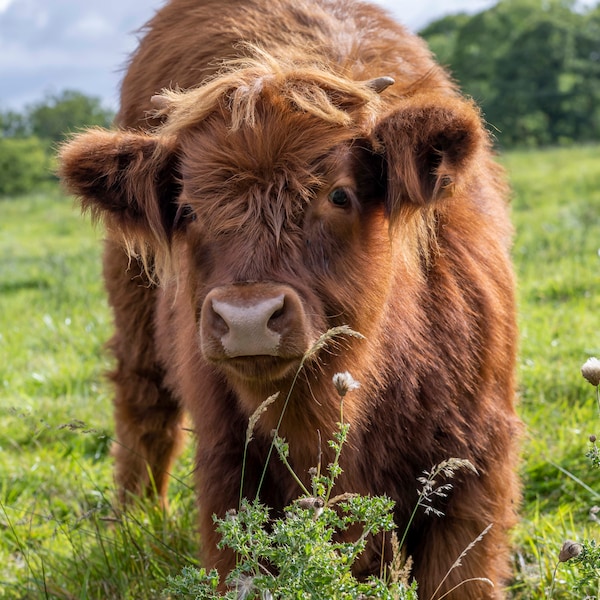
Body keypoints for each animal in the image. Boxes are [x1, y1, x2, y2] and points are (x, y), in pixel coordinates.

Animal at [59, 0, 520, 596]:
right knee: (144, 410)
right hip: (134, 310)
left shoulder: (473, 465)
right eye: (188, 209)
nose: (247, 318)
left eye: (339, 194)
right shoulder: (229, 472)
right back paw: (134, 522)